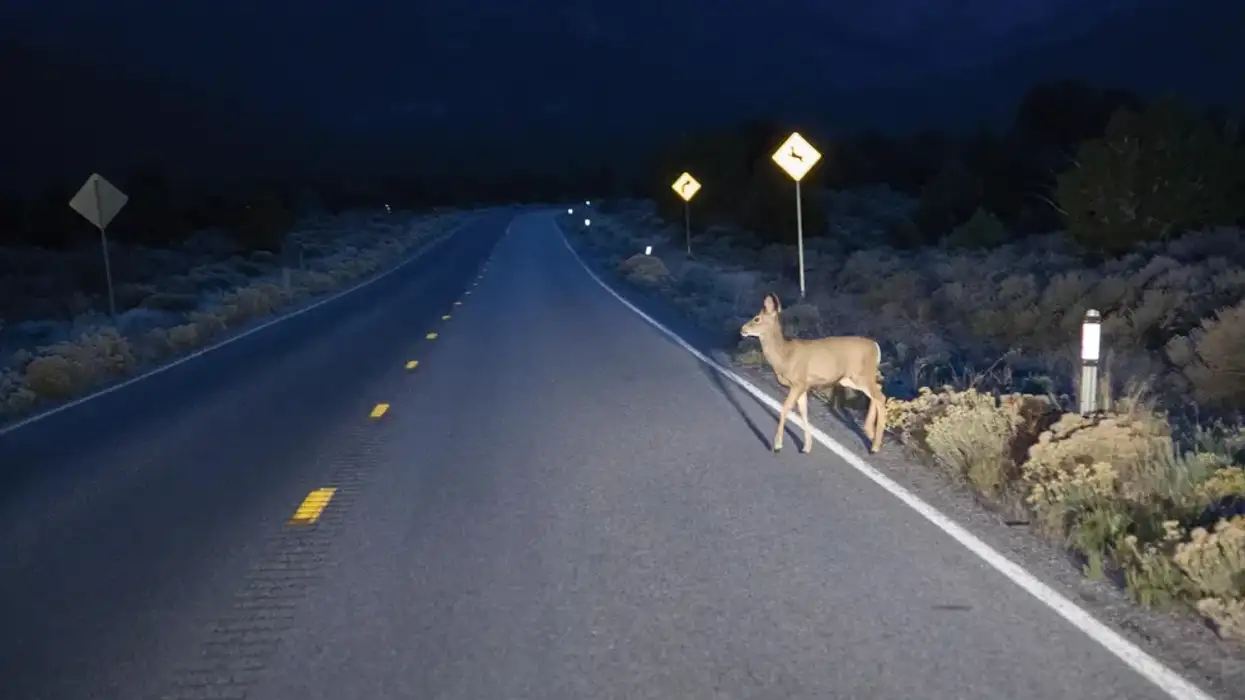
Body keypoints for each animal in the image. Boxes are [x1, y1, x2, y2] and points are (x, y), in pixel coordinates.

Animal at [740, 293, 886, 454]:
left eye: (757, 318)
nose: (742, 329)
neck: (785, 356)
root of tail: (876, 346)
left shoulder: (798, 383)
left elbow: (785, 409)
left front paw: (777, 445)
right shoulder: (804, 387)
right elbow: (803, 412)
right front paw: (807, 447)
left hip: (861, 375)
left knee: (880, 397)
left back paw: (875, 446)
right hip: (849, 378)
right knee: (878, 390)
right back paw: (869, 432)